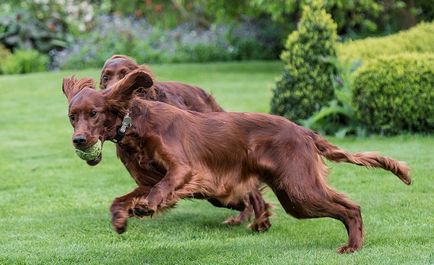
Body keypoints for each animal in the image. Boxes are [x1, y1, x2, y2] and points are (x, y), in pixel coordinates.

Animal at [62, 68, 410, 252]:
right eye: (72, 117)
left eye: (93, 113)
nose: (79, 140)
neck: (134, 121)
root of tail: (303, 131)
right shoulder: (150, 178)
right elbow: (122, 199)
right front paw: (122, 219)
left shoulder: (186, 169)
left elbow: (163, 187)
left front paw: (147, 207)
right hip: (292, 191)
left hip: (299, 190)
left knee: (351, 208)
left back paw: (352, 246)